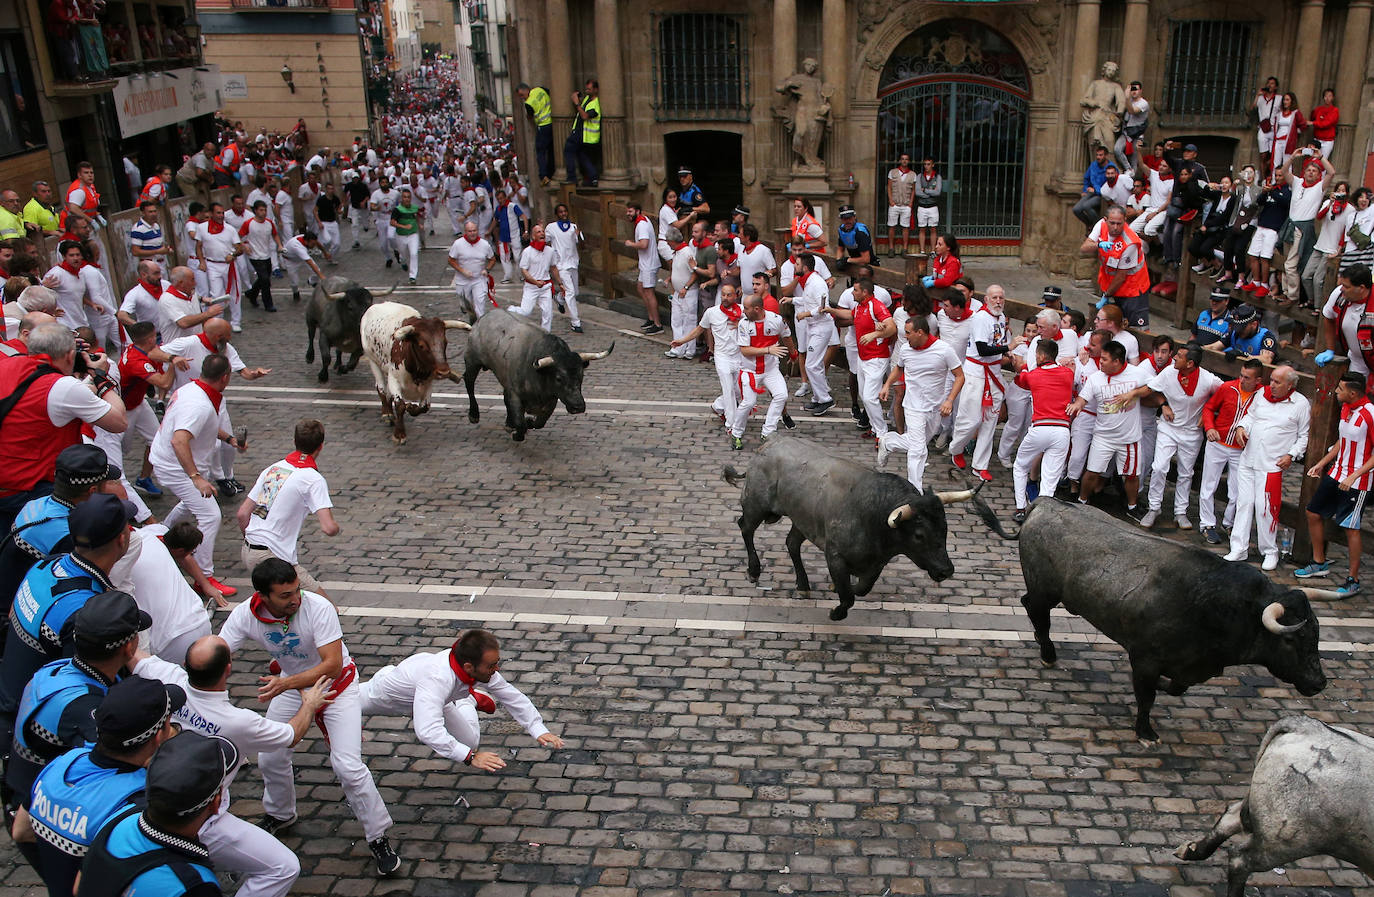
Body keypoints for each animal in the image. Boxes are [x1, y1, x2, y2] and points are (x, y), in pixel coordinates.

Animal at [359, 299, 472, 442]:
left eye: (445, 342)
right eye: (422, 346)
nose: (444, 372)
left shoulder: (428, 383)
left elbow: (424, 407)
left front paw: (412, 407)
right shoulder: (394, 379)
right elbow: (400, 405)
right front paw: (399, 434)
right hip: (372, 360)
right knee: (381, 389)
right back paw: (387, 413)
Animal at [461, 307, 612, 439]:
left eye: (582, 376)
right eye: (559, 378)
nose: (578, 406)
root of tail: (482, 318)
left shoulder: (551, 400)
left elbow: (540, 423)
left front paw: (526, 422)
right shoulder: (515, 394)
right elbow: (520, 423)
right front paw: (518, 432)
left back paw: (509, 423)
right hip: (472, 361)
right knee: (469, 383)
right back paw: (474, 415)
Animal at [719, 436, 1000, 618]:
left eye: (945, 530)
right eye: (919, 535)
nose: (946, 570)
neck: (873, 514)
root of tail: (768, 445)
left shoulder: (876, 563)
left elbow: (861, 589)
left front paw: (837, 589)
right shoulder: (834, 555)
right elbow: (848, 596)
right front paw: (836, 610)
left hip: (803, 519)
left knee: (791, 544)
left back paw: (803, 585)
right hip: (757, 505)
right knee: (745, 527)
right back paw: (754, 570)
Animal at [1022, 500, 1330, 736]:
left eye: (1317, 633)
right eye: (1291, 639)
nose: (1319, 683)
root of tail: (1047, 503)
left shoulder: (1189, 667)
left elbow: (1175, 687)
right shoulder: (1144, 659)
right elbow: (1146, 697)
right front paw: (1145, 732)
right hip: (1044, 590)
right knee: (1037, 612)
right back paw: (1047, 653)